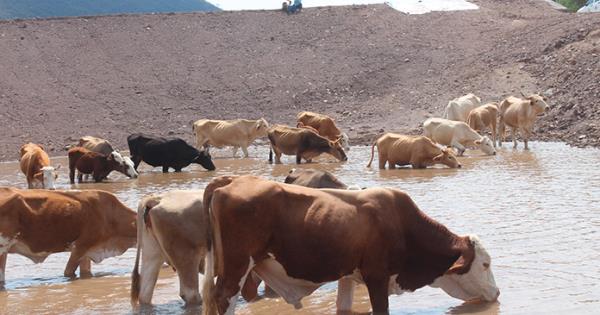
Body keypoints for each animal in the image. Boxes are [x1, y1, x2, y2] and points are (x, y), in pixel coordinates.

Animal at [202, 175, 502, 315]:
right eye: (485, 264)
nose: (498, 293)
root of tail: (232, 181)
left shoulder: (347, 277)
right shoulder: (377, 277)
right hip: (236, 268)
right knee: (224, 299)